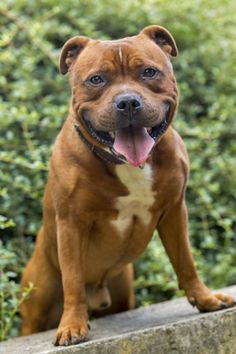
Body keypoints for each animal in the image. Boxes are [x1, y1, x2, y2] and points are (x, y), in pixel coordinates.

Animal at [20, 27, 234, 346]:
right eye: (96, 79)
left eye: (149, 72)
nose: (128, 102)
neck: (129, 164)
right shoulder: (71, 223)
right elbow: (72, 279)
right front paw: (72, 325)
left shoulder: (174, 212)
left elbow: (185, 261)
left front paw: (205, 299)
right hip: (36, 306)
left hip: (123, 292)